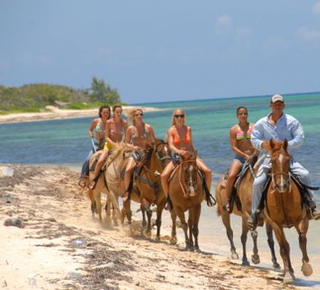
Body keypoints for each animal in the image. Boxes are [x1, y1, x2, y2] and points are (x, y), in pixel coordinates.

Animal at [264, 139, 314, 284]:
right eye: (273, 160)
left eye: (288, 159)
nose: (282, 185)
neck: (282, 196)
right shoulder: (276, 224)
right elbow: (284, 247)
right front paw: (287, 275)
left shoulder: (301, 219)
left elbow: (302, 239)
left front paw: (307, 267)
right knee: (284, 246)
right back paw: (289, 271)